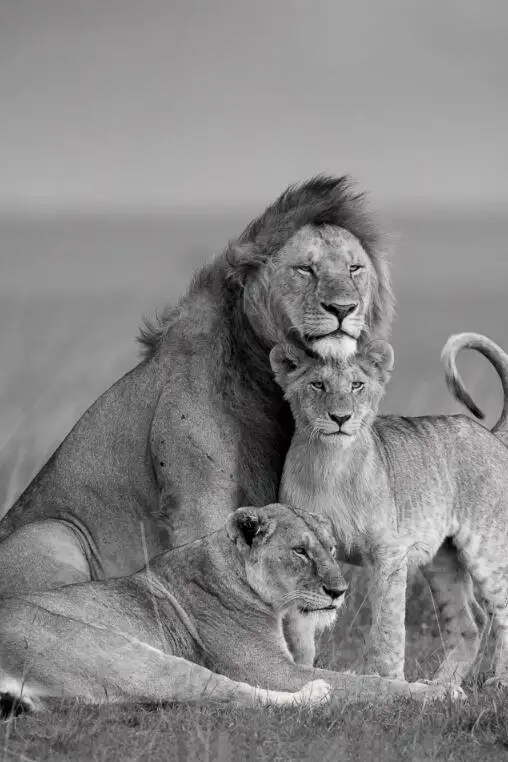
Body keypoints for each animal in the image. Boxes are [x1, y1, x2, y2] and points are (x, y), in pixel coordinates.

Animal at [0, 175, 395, 598]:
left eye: (355, 268)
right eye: (305, 269)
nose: (343, 308)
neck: (266, 380)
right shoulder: (199, 504)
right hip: (54, 534)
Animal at [0, 503, 448, 713]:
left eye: (332, 548)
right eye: (300, 551)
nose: (339, 591)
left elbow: (361, 676)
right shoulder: (269, 668)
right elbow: (367, 685)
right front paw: (437, 691)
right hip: (116, 650)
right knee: (229, 694)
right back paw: (316, 694)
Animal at [271, 338, 508, 688]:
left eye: (357, 385)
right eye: (318, 385)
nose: (340, 417)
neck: (330, 464)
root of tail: (490, 433)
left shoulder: (389, 553)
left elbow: (388, 627)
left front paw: (390, 683)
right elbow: (299, 629)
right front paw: (301, 676)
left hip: (486, 547)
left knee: (502, 609)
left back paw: (497, 682)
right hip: (441, 560)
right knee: (470, 622)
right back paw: (442, 686)